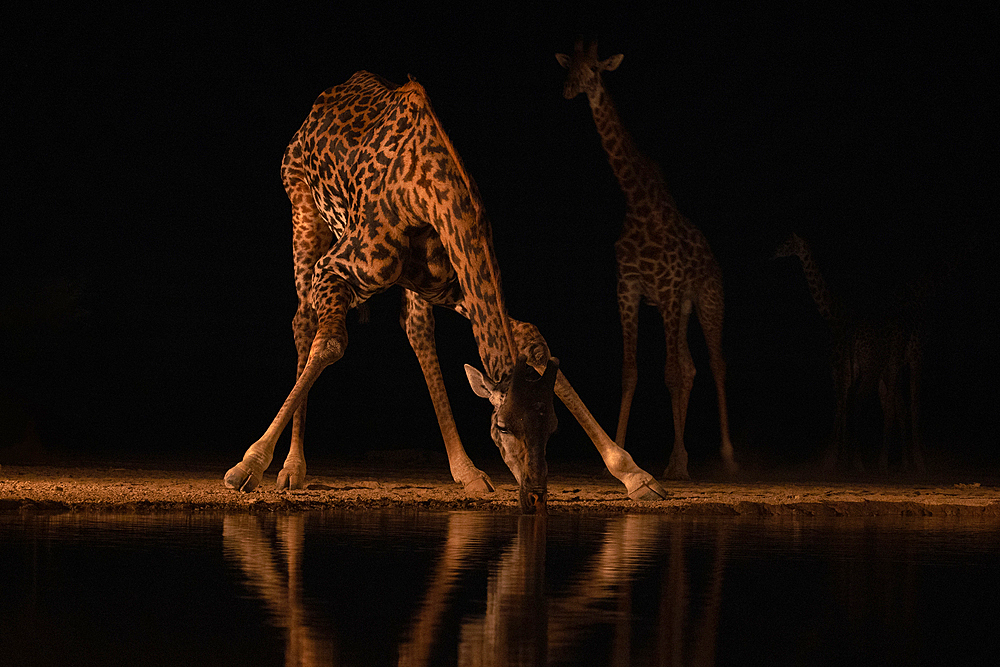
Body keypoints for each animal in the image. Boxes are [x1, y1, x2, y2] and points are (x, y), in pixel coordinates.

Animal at [224, 72, 668, 512]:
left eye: (553, 428)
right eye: (502, 427)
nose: (535, 494)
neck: (428, 189)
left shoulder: (453, 287)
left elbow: (530, 339)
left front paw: (636, 475)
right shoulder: (335, 268)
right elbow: (330, 343)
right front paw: (246, 466)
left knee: (416, 330)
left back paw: (467, 471)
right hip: (303, 210)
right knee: (304, 320)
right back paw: (291, 468)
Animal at [560, 39, 740, 480]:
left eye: (595, 68)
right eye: (568, 67)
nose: (572, 90)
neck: (638, 202)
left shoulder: (670, 287)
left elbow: (671, 374)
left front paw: (676, 464)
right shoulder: (629, 288)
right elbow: (631, 371)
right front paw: (620, 455)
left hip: (707, 299)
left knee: (715, 363)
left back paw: (725, 456)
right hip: (680, 308)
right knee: (691, 367)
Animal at [772, 234, 928, 474]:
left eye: (787, 243)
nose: (773, 252)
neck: (833, 315)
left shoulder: (842, 369)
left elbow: (842, 407)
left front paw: (835, 459)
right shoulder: (843, 371)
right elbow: (843, 406)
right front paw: (839, 458)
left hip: (905, 362)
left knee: (905, 404)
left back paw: (906, 461)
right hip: (885, 369)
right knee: (895, 405)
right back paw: (901, 461)